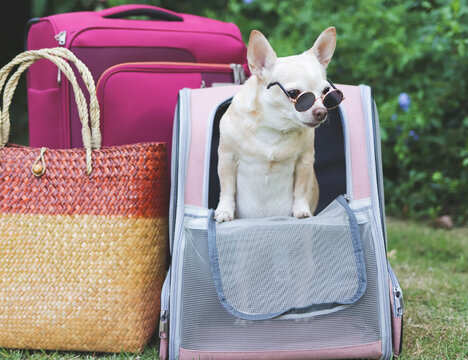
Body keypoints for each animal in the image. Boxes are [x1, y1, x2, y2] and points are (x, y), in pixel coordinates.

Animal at [214, 26, 342, 222]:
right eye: (294, 93)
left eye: (326, 91)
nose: (321, 112)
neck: (275, 129)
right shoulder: (227, 159)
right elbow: (227, 189)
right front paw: (224, 211)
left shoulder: (304, 162)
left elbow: (301, 190)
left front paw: (301, 211)